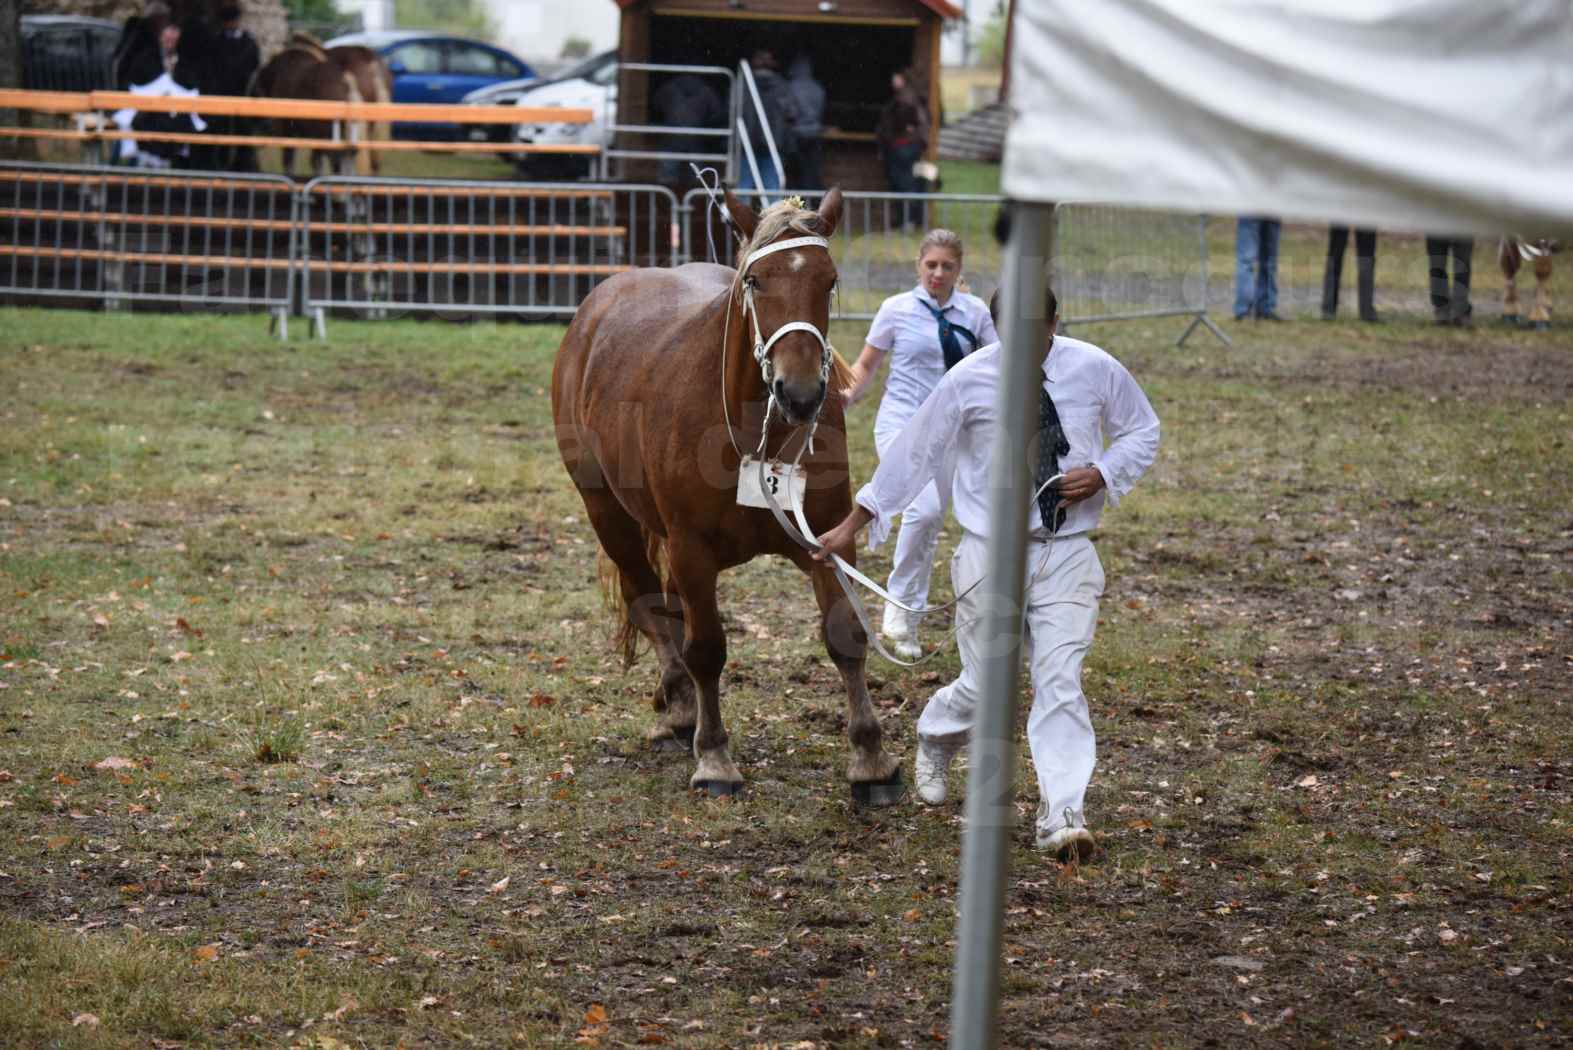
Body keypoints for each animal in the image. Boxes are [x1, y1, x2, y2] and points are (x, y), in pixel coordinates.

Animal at [553, 188, 906, 798]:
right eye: (756, 281)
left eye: (829, 280)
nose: (800, 392)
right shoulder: (690, 548)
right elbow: (707, 648)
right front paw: (715, 756)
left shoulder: (827, 537)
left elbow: (844, 636)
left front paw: (870, 756)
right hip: (607, 512)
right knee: (650, 601)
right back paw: (679, 706)